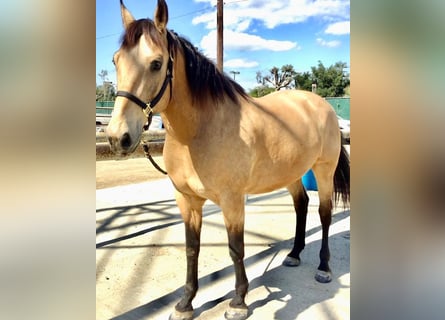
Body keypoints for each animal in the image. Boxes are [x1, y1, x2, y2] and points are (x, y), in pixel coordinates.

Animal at [106, 1, 348, 318]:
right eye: (116, 60)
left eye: (156, 63)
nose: (117, 137)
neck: (199, 132)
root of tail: (321, 104)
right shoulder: (187, 200)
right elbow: (192, 248)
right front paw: (185, 303)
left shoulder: (232, 200)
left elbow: (236, 248)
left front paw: (238, 302)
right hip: (292, 173)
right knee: (301, 205)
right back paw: (294, 254)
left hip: (323, 170)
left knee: (324, 212)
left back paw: (323, 267)